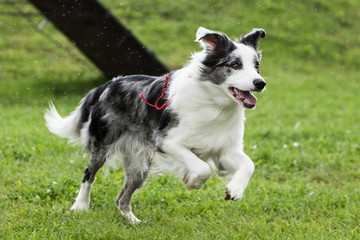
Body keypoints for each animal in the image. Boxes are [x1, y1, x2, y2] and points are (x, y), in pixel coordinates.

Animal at [44, 27, 264, 224]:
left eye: (257, 66)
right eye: (235, 65)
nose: (260, 83)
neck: (215, 104)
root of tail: (108, 84)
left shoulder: (223, 150)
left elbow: (249, 165)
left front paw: (234, 190)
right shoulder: (167, 142)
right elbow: (202, 168)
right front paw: (192, 182)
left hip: (138, 164)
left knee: (122, 197)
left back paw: (133, 221)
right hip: (102, 144)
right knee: (88, 174)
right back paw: (80, 206)